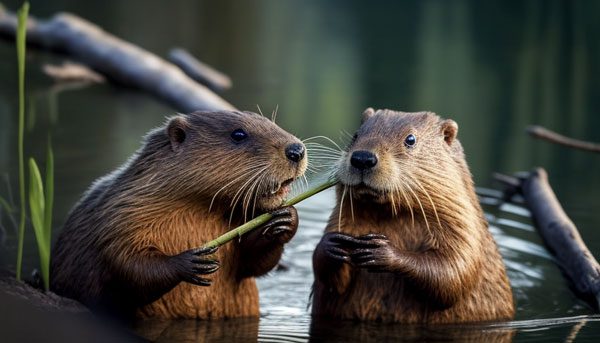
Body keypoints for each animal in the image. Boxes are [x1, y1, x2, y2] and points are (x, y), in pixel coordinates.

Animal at [50, 110, 310, 320]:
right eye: (238, 134)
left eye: (270, 121)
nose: (296, 150)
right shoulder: (120, 213)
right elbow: (127, 263)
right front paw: (194, 262)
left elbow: (252, 265)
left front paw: (285, 219)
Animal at [312, 109, 512, 324]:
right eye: (356, 135)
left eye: (410, 139)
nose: (363, 157)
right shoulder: (340, 218)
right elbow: (331, 280)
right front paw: (334, 243)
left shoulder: (463, 223)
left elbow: (454, 270)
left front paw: (378, 250)